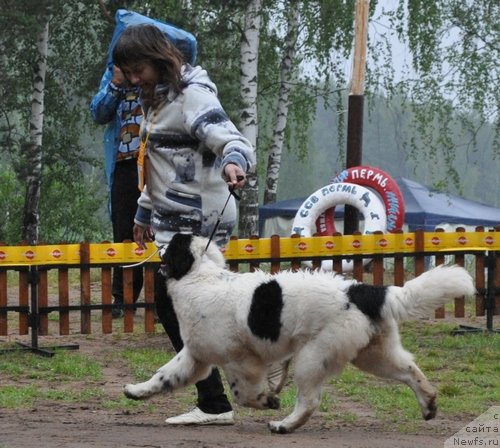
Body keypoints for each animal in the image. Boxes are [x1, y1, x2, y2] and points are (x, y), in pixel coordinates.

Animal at [123, 233, 474, 432]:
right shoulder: (196, 355)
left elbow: (243, 393)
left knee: (310, 401)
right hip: (373, 354)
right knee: (410, 370)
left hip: (313, 356)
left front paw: (268, 400)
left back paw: (284, 425)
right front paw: (136, 391)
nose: (155, 242)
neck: (200, 277)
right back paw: (428, 404)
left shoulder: (240, 359)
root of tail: (363, 291)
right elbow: (164, 375)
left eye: (171, 247)